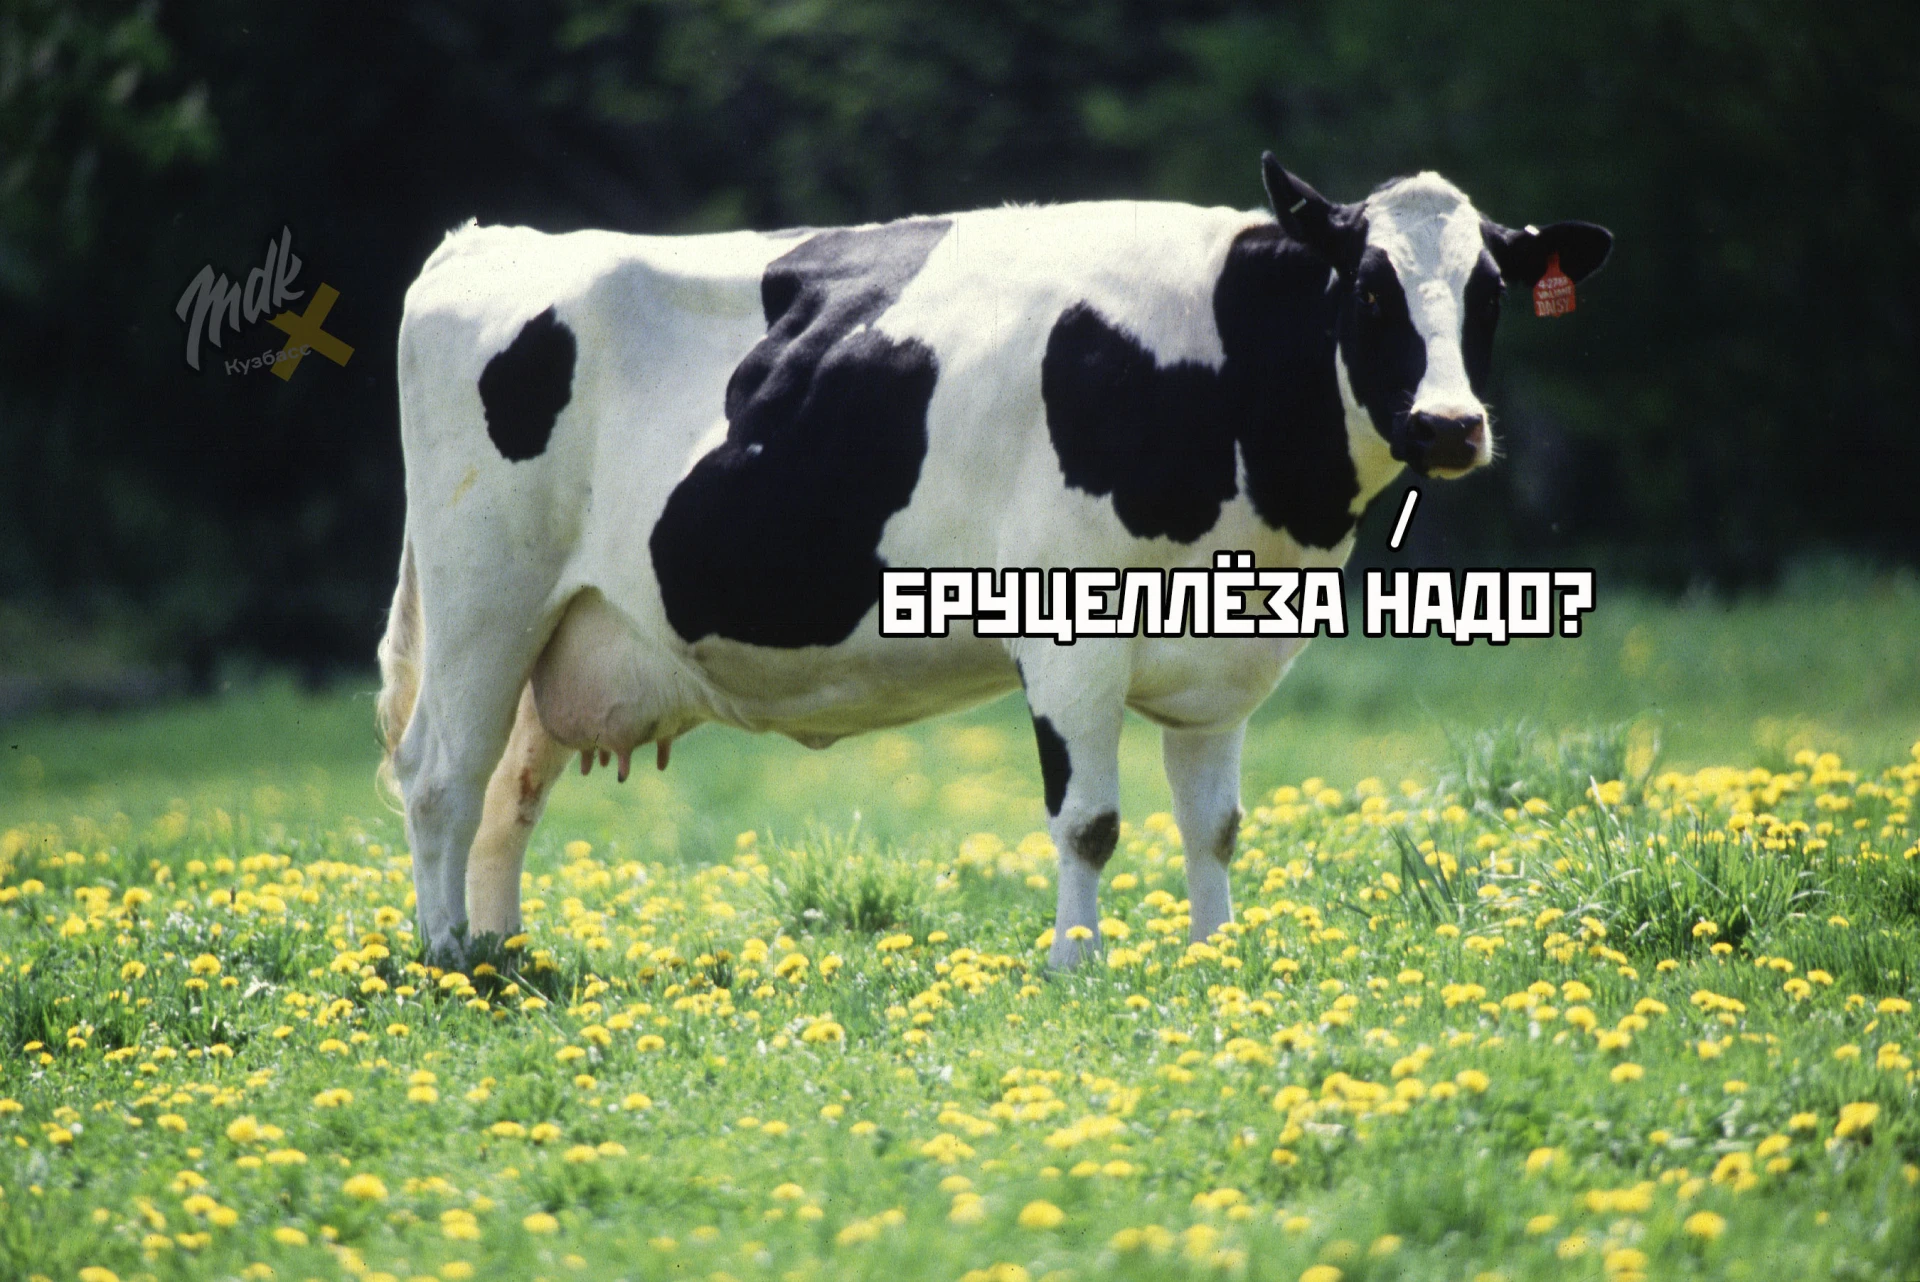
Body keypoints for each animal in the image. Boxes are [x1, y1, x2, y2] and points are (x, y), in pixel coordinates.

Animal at [376, 154, 1611, 969]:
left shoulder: (1227, 656)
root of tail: (488, 241)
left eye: (1490, 292)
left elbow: (1213, 823)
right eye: (1368, 287)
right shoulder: (1071, 628)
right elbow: (1090, 820)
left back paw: (503, 953)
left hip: (564, 628)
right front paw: (1077, 966)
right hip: (485, 595)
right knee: (442, 775)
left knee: (509, 791)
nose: (1450, 425)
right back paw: (448, 962)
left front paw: (1216, 957)